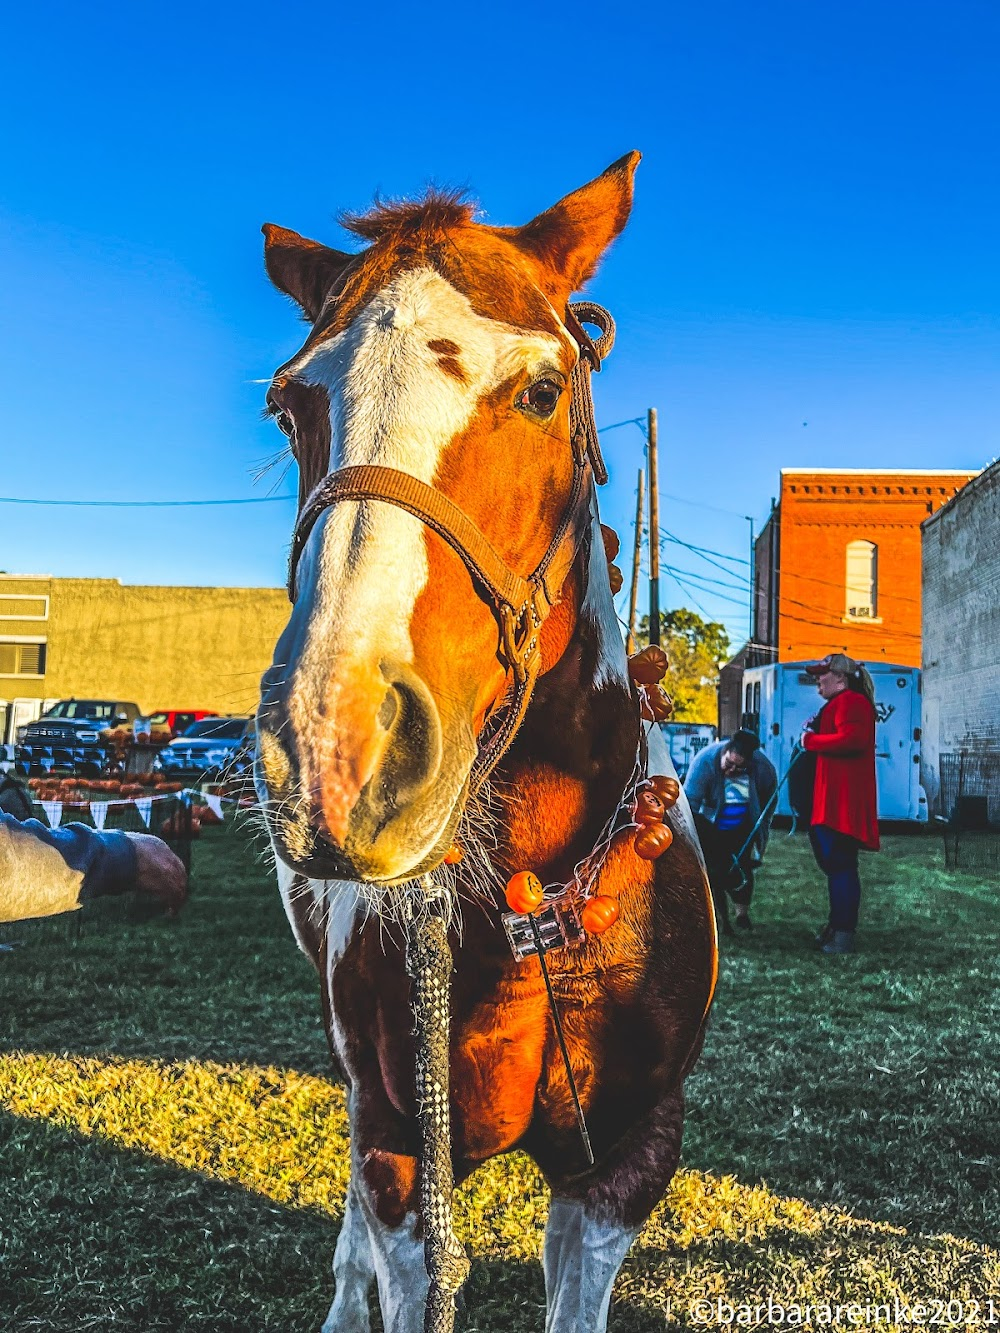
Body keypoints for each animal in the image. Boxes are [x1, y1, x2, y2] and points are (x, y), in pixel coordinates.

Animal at [254, 153, 714, 1322]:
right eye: (289, 407)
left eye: (542, 391)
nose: (339, 752)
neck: (536, 901)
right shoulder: (400, 1150)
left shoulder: (624, 1164)